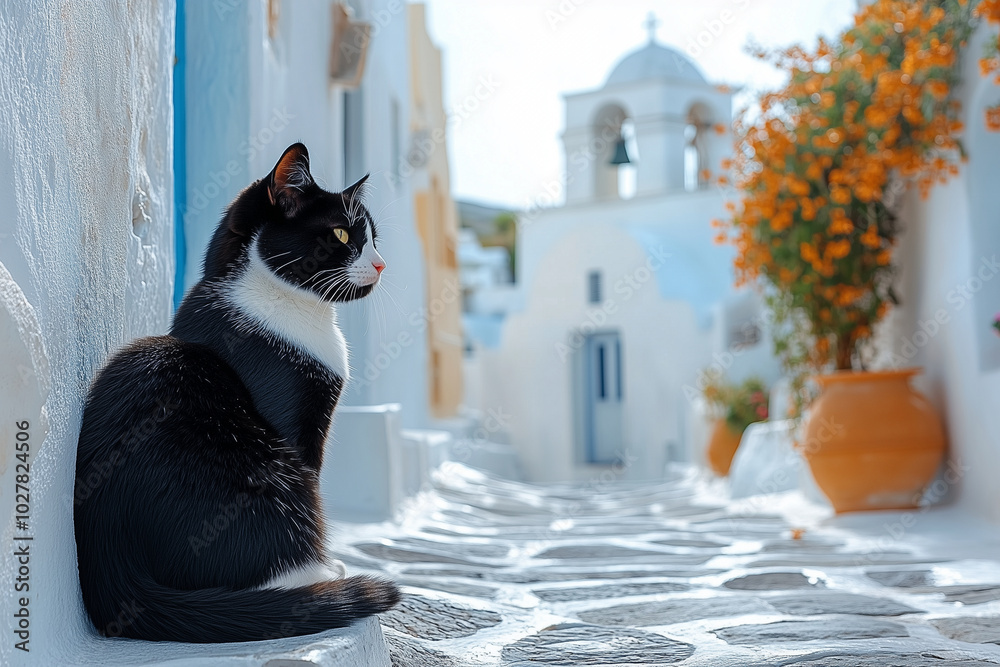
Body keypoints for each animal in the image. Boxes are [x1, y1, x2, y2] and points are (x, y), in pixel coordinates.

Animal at [72, 145, 400, 640]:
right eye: (342, 234)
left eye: (374, 238)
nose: (381, 264)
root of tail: (116, 572)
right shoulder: (295, 422)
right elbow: (314, 488)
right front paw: (325, 565)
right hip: (263, 466)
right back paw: (313, 580)